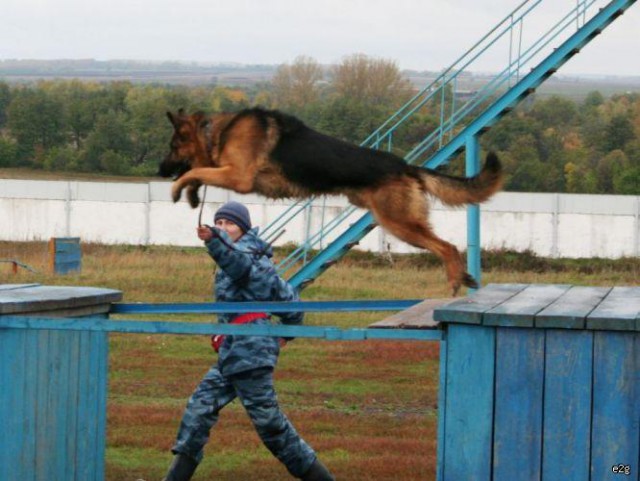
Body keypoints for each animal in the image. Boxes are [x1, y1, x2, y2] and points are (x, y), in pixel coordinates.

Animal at [161, 107, 504, 294]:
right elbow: (199, 172)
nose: (160, 170)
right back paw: (465, 277)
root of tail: (404, 166)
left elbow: (196, 170)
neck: (214, 133)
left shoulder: (238, 177)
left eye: (173, 147)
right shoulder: (227, 173)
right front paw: (191, 194)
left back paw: (456, 280)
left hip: (399, 224)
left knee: (447, 247)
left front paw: (178, 189)